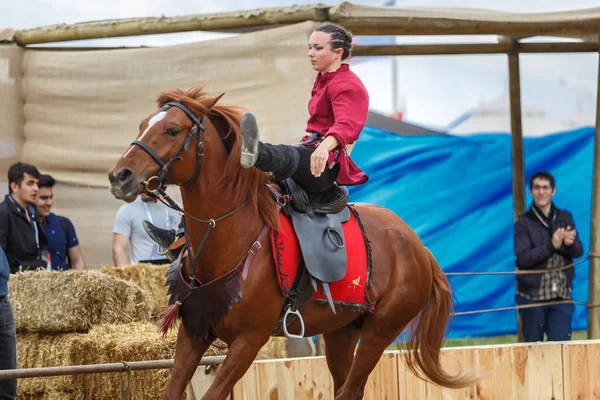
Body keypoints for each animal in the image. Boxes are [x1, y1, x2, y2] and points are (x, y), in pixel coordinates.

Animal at [106, 86, 474, 398]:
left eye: (172, 130)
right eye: (143, 125)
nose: (119, 176)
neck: (230, 237)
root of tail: (419, 247)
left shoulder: (249, 341)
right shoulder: (195, 330)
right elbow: (172, 390)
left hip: (379, 333)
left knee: (351, 388)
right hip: (341, 331)